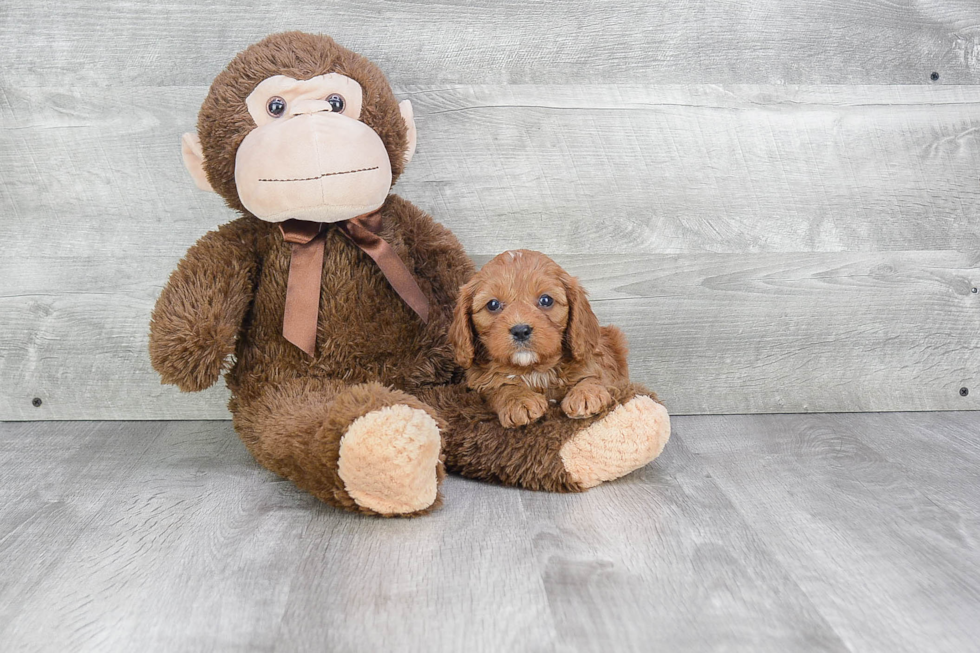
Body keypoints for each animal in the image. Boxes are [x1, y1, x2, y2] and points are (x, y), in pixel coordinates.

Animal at [450, 250, 628, 428]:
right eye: (492, 304)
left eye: (546, 300)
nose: (520, 331)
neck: (534, 370)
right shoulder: (482, 383)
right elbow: (501, 386)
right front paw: (519, 400)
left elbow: (594, 376)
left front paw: (586, 394)